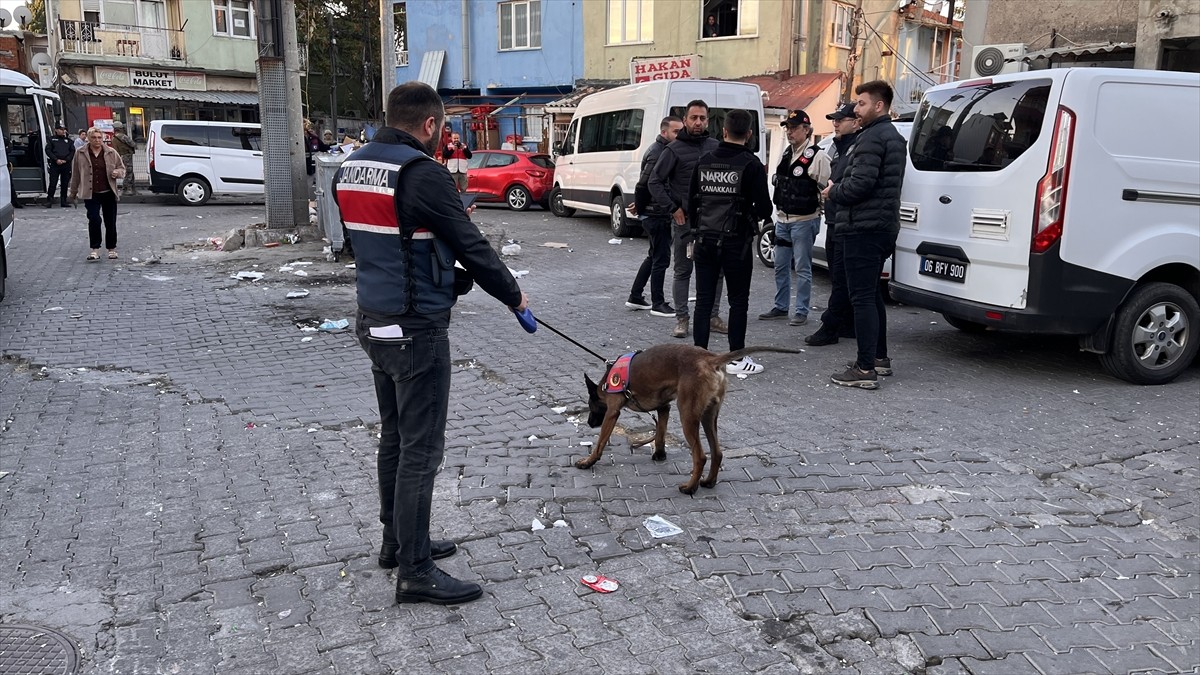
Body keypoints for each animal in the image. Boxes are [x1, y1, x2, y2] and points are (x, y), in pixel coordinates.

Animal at [578, 343, 796, 492]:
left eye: (591, 407)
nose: (589, 423)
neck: (606, 382)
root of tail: (710, 359)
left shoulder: (612, 412)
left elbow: (600, 442)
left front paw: (588, 461)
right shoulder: (664, 408)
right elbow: (660, 434)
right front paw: (660, 454)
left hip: (688, 416)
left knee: (700, 456)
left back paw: (690, 487)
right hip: (709, 417)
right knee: (717, 453)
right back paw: (708, 481)